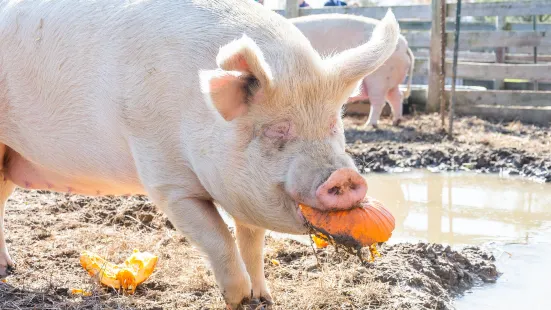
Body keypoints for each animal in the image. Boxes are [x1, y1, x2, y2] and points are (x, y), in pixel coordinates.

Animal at [0, 0, 398, 308]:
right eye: (276, 129)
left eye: (333, 123)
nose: (345, 177)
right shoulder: (166, 181)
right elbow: (219, 237)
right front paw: (239, 299)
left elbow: (252, 241)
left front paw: (264, 299)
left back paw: (10, 269)